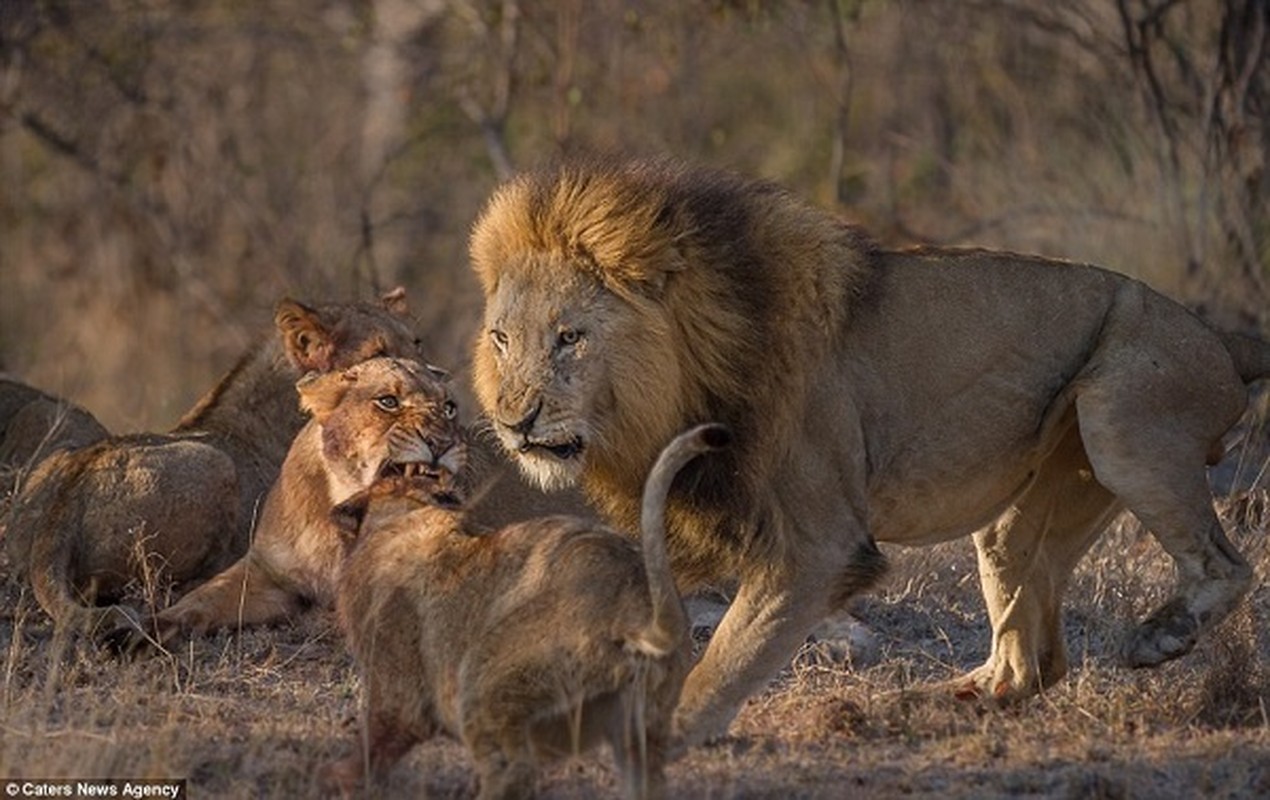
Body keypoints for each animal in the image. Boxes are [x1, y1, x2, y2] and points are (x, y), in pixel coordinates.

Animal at [114, 355, 467, 650]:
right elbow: (203, 597)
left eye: (449, 407)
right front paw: (143, 632)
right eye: (388, 402)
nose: (442, 442)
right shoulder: (266, 571)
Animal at [322, 424, 731, 797]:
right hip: (641, 728)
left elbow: (376, 741)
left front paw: (337, 777)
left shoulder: (398, 691)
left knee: (511, 770)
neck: (411, 512)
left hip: (485, 683)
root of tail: (635, 608)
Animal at [472, 154, 1270, 746]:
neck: (687, 370)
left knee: (1228, 567)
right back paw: (938, 700)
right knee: (1032, 661)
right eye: (502, 339)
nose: (514, 422)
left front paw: (659, 731)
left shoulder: (821, 545)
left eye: (570, 337)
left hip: (1120, 414)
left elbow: (728, 654)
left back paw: (1160, 637)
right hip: (1025, 510)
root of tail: (1217, 334)